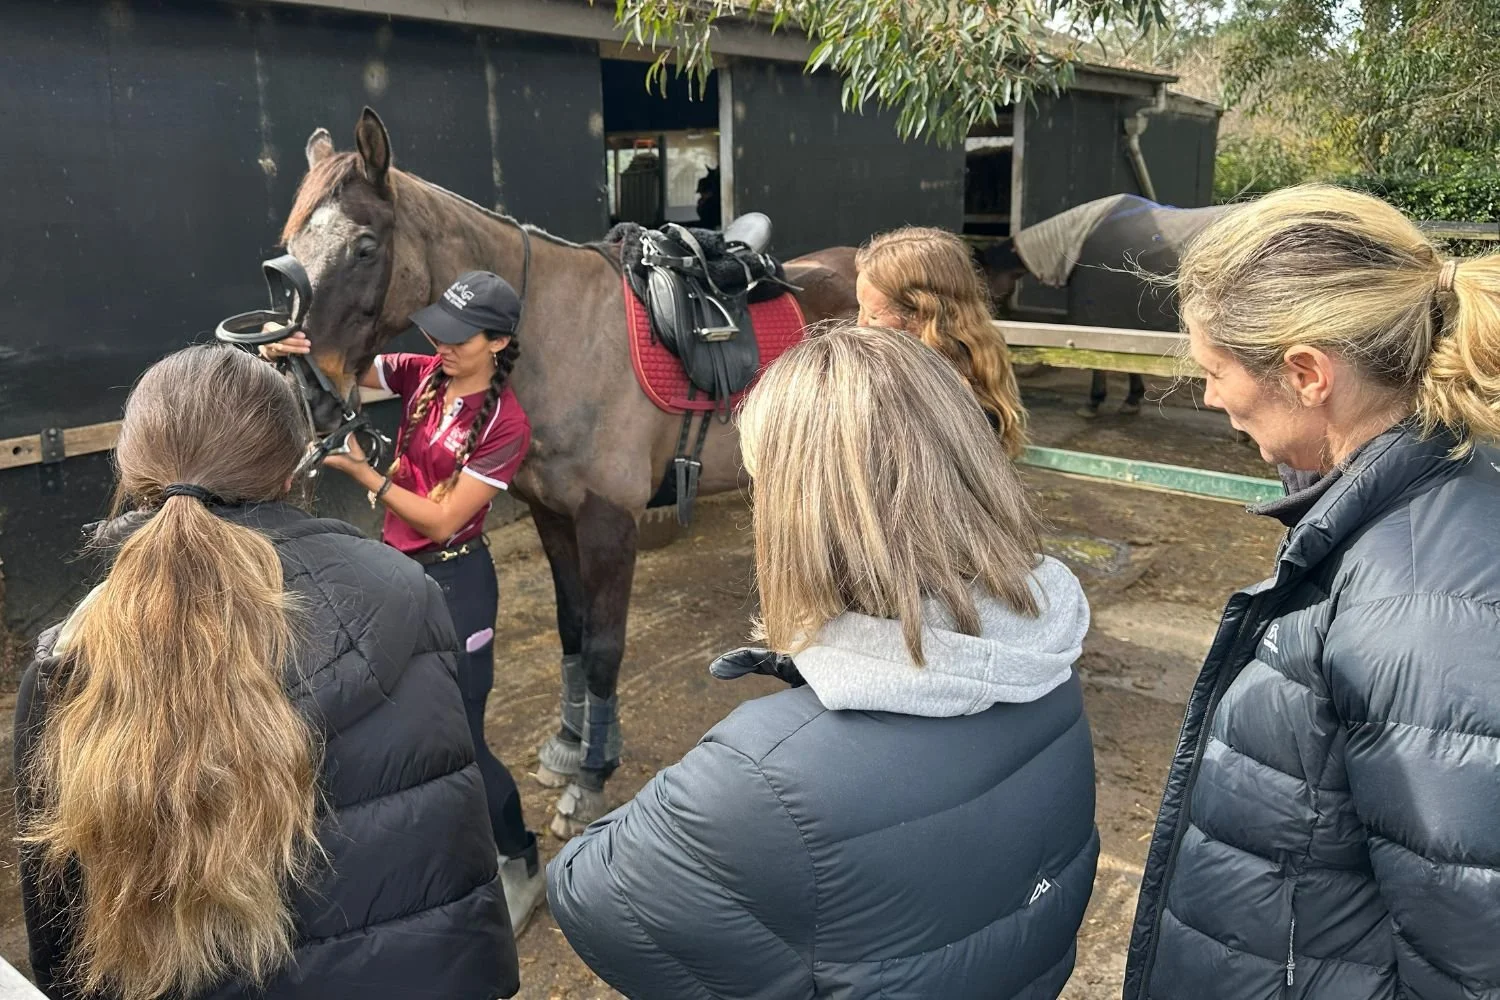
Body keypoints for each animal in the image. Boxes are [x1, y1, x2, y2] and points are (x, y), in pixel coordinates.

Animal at [277, 108, 858, 837]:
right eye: (289, 246)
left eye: (362, 247)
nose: (305, 393)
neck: (564, 338)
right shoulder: (553, 514)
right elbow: (573, 631)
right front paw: (568, 744)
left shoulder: (610, 522)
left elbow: (606, 647)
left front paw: (592, 777)